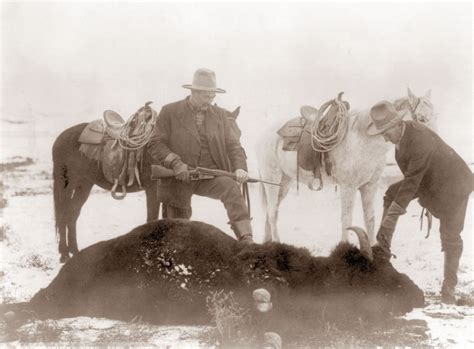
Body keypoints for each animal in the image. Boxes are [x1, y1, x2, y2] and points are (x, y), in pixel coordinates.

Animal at [53, 102, 243, 260]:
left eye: (238, 132)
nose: (231, 168)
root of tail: (62, 136)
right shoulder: (153, 190)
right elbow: (152, 217)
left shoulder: (167, 192)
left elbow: (167, 218)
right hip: (66, 185)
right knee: (64, 214)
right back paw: (64, 254)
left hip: (84, 184)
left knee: (72, 213)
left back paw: (74, 250)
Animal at [258, 88, 436, 243]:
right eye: (421, 118)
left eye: (434, 115)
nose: (432, 147)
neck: (363, 140)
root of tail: (265, 134)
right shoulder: (348, 187)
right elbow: (346, 220)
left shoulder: (369, 186)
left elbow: (369, 218)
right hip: (272, 180)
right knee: (272, 212)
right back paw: (277, 242)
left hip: (284, 183)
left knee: (269, 212)